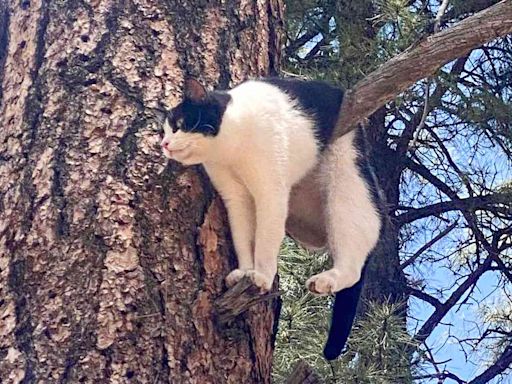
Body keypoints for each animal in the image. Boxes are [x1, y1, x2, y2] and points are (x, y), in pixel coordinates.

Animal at [160, 78, 380, 360]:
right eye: (164, 131)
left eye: (179, 124)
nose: (164, 144)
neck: (230, 148)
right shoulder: (236, 199)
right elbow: (243, 239)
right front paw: (245, 271)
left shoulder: (271, 193)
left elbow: (265, 242)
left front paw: (262, 276)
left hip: (345, 185)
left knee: (354, 262)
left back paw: (326, 280)